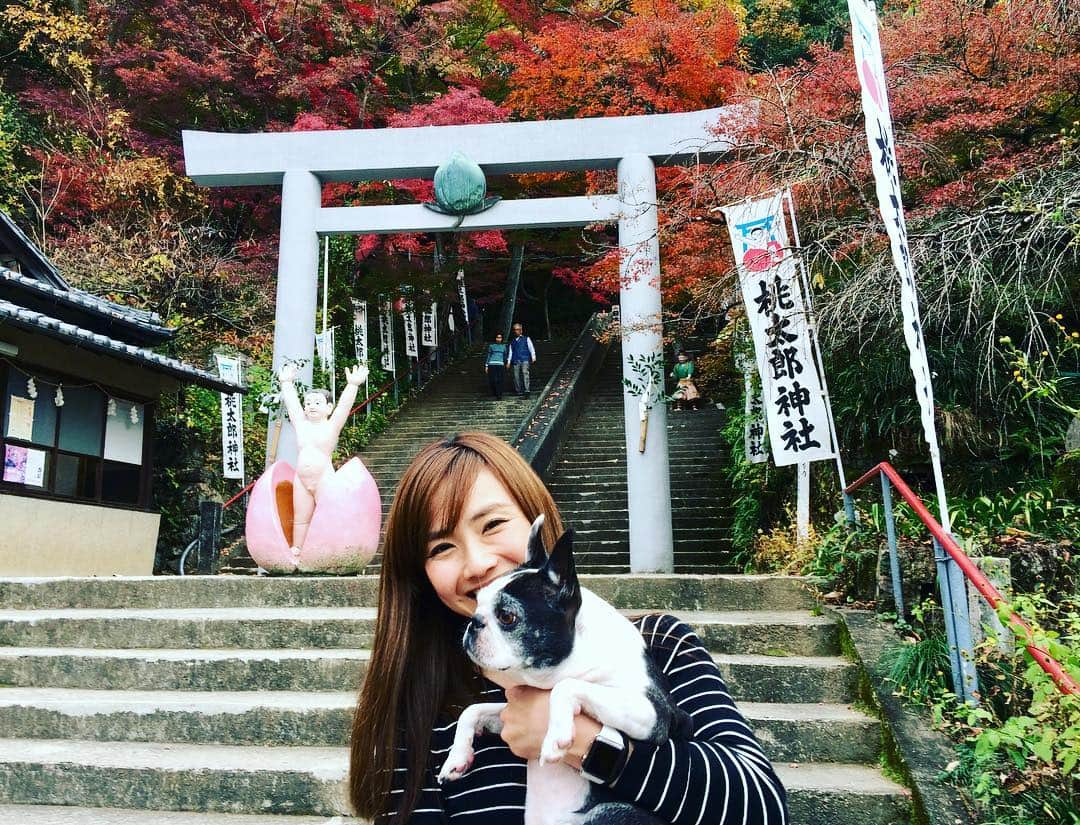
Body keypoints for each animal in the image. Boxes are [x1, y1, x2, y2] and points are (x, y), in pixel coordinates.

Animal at [434, 516, 686, 825]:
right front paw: (457, 758)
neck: (575, 656)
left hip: (607, 812)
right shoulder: (509, 712)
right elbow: (472, 710)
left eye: (507, 617)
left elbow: (566, 687)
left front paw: (556, 737)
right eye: (477, 602)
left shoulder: (654, 715)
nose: (473, 622)